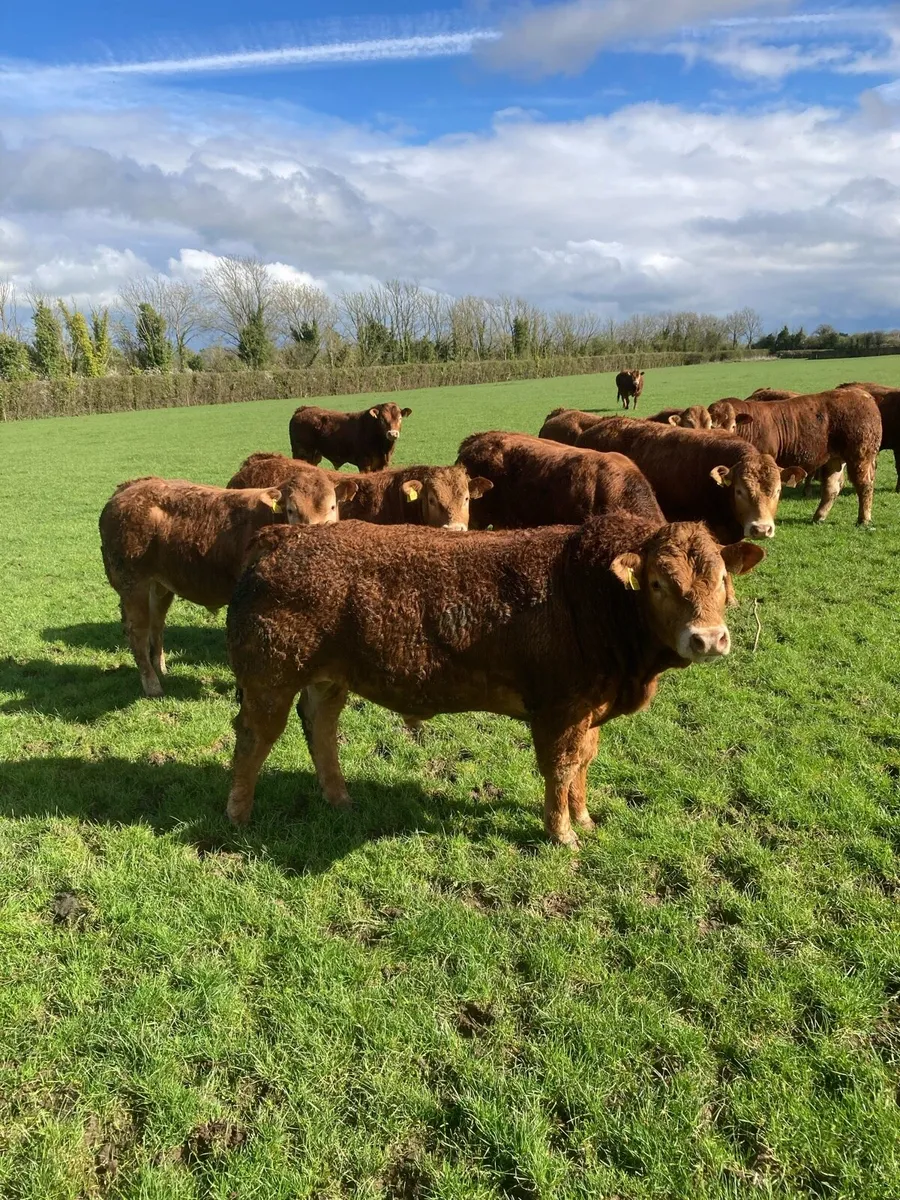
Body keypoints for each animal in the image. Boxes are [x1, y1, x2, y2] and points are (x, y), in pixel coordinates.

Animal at [99, 475, 344, 698]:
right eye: (292, 510)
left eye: (332, 507)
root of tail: (129, 488)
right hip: (133, 583)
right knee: (138, 632)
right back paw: (152, 685)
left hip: (159, 585)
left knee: (156, 624)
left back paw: (161, 669)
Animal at [224, 514, 764, 845]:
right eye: (657, 582)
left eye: (721, 578)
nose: (708, 638)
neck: (591, 593)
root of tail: (282, 536)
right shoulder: (560, 710)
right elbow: (561, 768)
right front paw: (562, 833)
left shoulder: (590, 709)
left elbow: (584, 763)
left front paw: (584, 818)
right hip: (269, 679)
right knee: (253, 741)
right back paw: (238, 815)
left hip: (328, 678)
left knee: (321, 728)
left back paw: (339, 798)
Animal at [707, 389, 881, 524]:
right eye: (710, 426)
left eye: (732, 426)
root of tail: (863, 395)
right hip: (835, 460)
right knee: (832, 487)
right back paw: (819, 517)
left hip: (860, 456)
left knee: (864, 485)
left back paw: (864, 519)